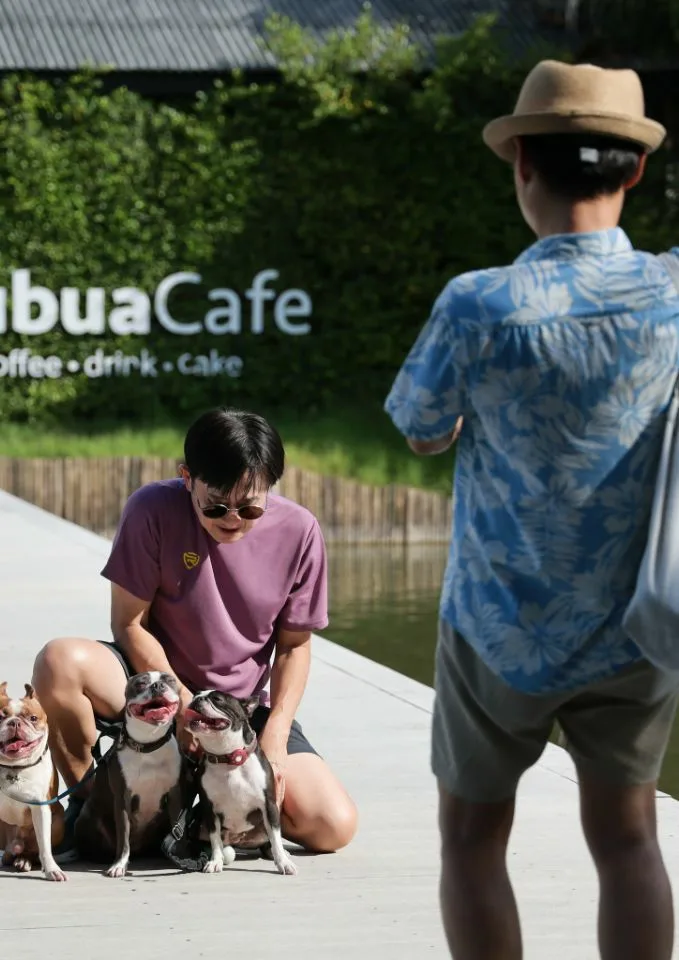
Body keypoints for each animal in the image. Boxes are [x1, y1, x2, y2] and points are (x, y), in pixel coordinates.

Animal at [0, 682, 66, 881]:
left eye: (33, 718)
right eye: (0, 716)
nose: (14, 722)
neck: (13, 768)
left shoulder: (41, 807)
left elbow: (44, 845)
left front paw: (52, 870)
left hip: (58, 822)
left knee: (32, 851)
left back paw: (24, 861)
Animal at [74, 671, 183, 878]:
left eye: (169, 680)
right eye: (140, 683)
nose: (157, 686)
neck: (148, 745)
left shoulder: (174, 795)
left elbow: (177, 829)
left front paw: (180, 856)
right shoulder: (122, 799)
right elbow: (123, 836)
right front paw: (119, 864)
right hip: (86, 819)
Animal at [184, 690, 297, 876]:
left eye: (217, 699)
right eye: (196, 695)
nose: (196, 699)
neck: (229, 759)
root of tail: (238, 841)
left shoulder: (269, 805)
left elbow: (276, 838)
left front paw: (284, 863)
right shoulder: (209, 809)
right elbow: (215, 839)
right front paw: (215, 861)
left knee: (270, 840)